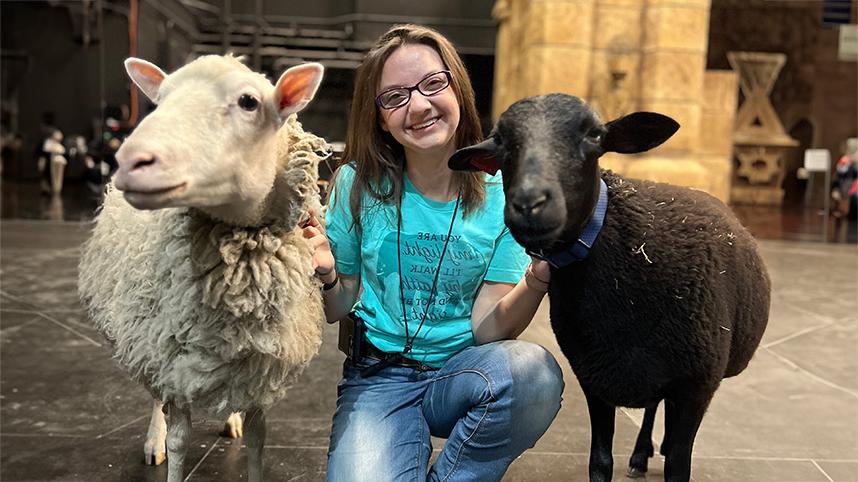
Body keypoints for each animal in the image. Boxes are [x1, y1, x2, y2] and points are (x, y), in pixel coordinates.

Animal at [79, 53, 328, 482]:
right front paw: (168, 448)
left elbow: (259, 439)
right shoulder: (172, 360)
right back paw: (154, 441)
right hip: (147, 340)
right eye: (159, 100)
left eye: (249, 102)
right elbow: (180, 439)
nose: (130, 161)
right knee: (157, 400)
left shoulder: (261, 366)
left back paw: (230, 419)